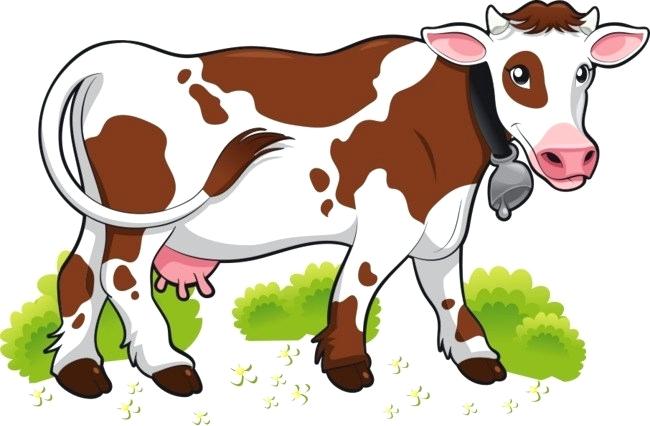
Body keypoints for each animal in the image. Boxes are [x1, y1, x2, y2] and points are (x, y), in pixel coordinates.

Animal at [39, 1, 647, 398]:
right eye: (518, 71)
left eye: (585, 71)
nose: (571, 156)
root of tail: (119, 56)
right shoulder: (388, 224)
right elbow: (357, 286)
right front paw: (348, 366)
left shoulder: (441, 225)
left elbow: (449, 293)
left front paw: (476, 355)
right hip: (145, 210)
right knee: (121, 273)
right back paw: (166, 364)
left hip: (103, 208)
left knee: (81, 270)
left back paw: (78, 369)